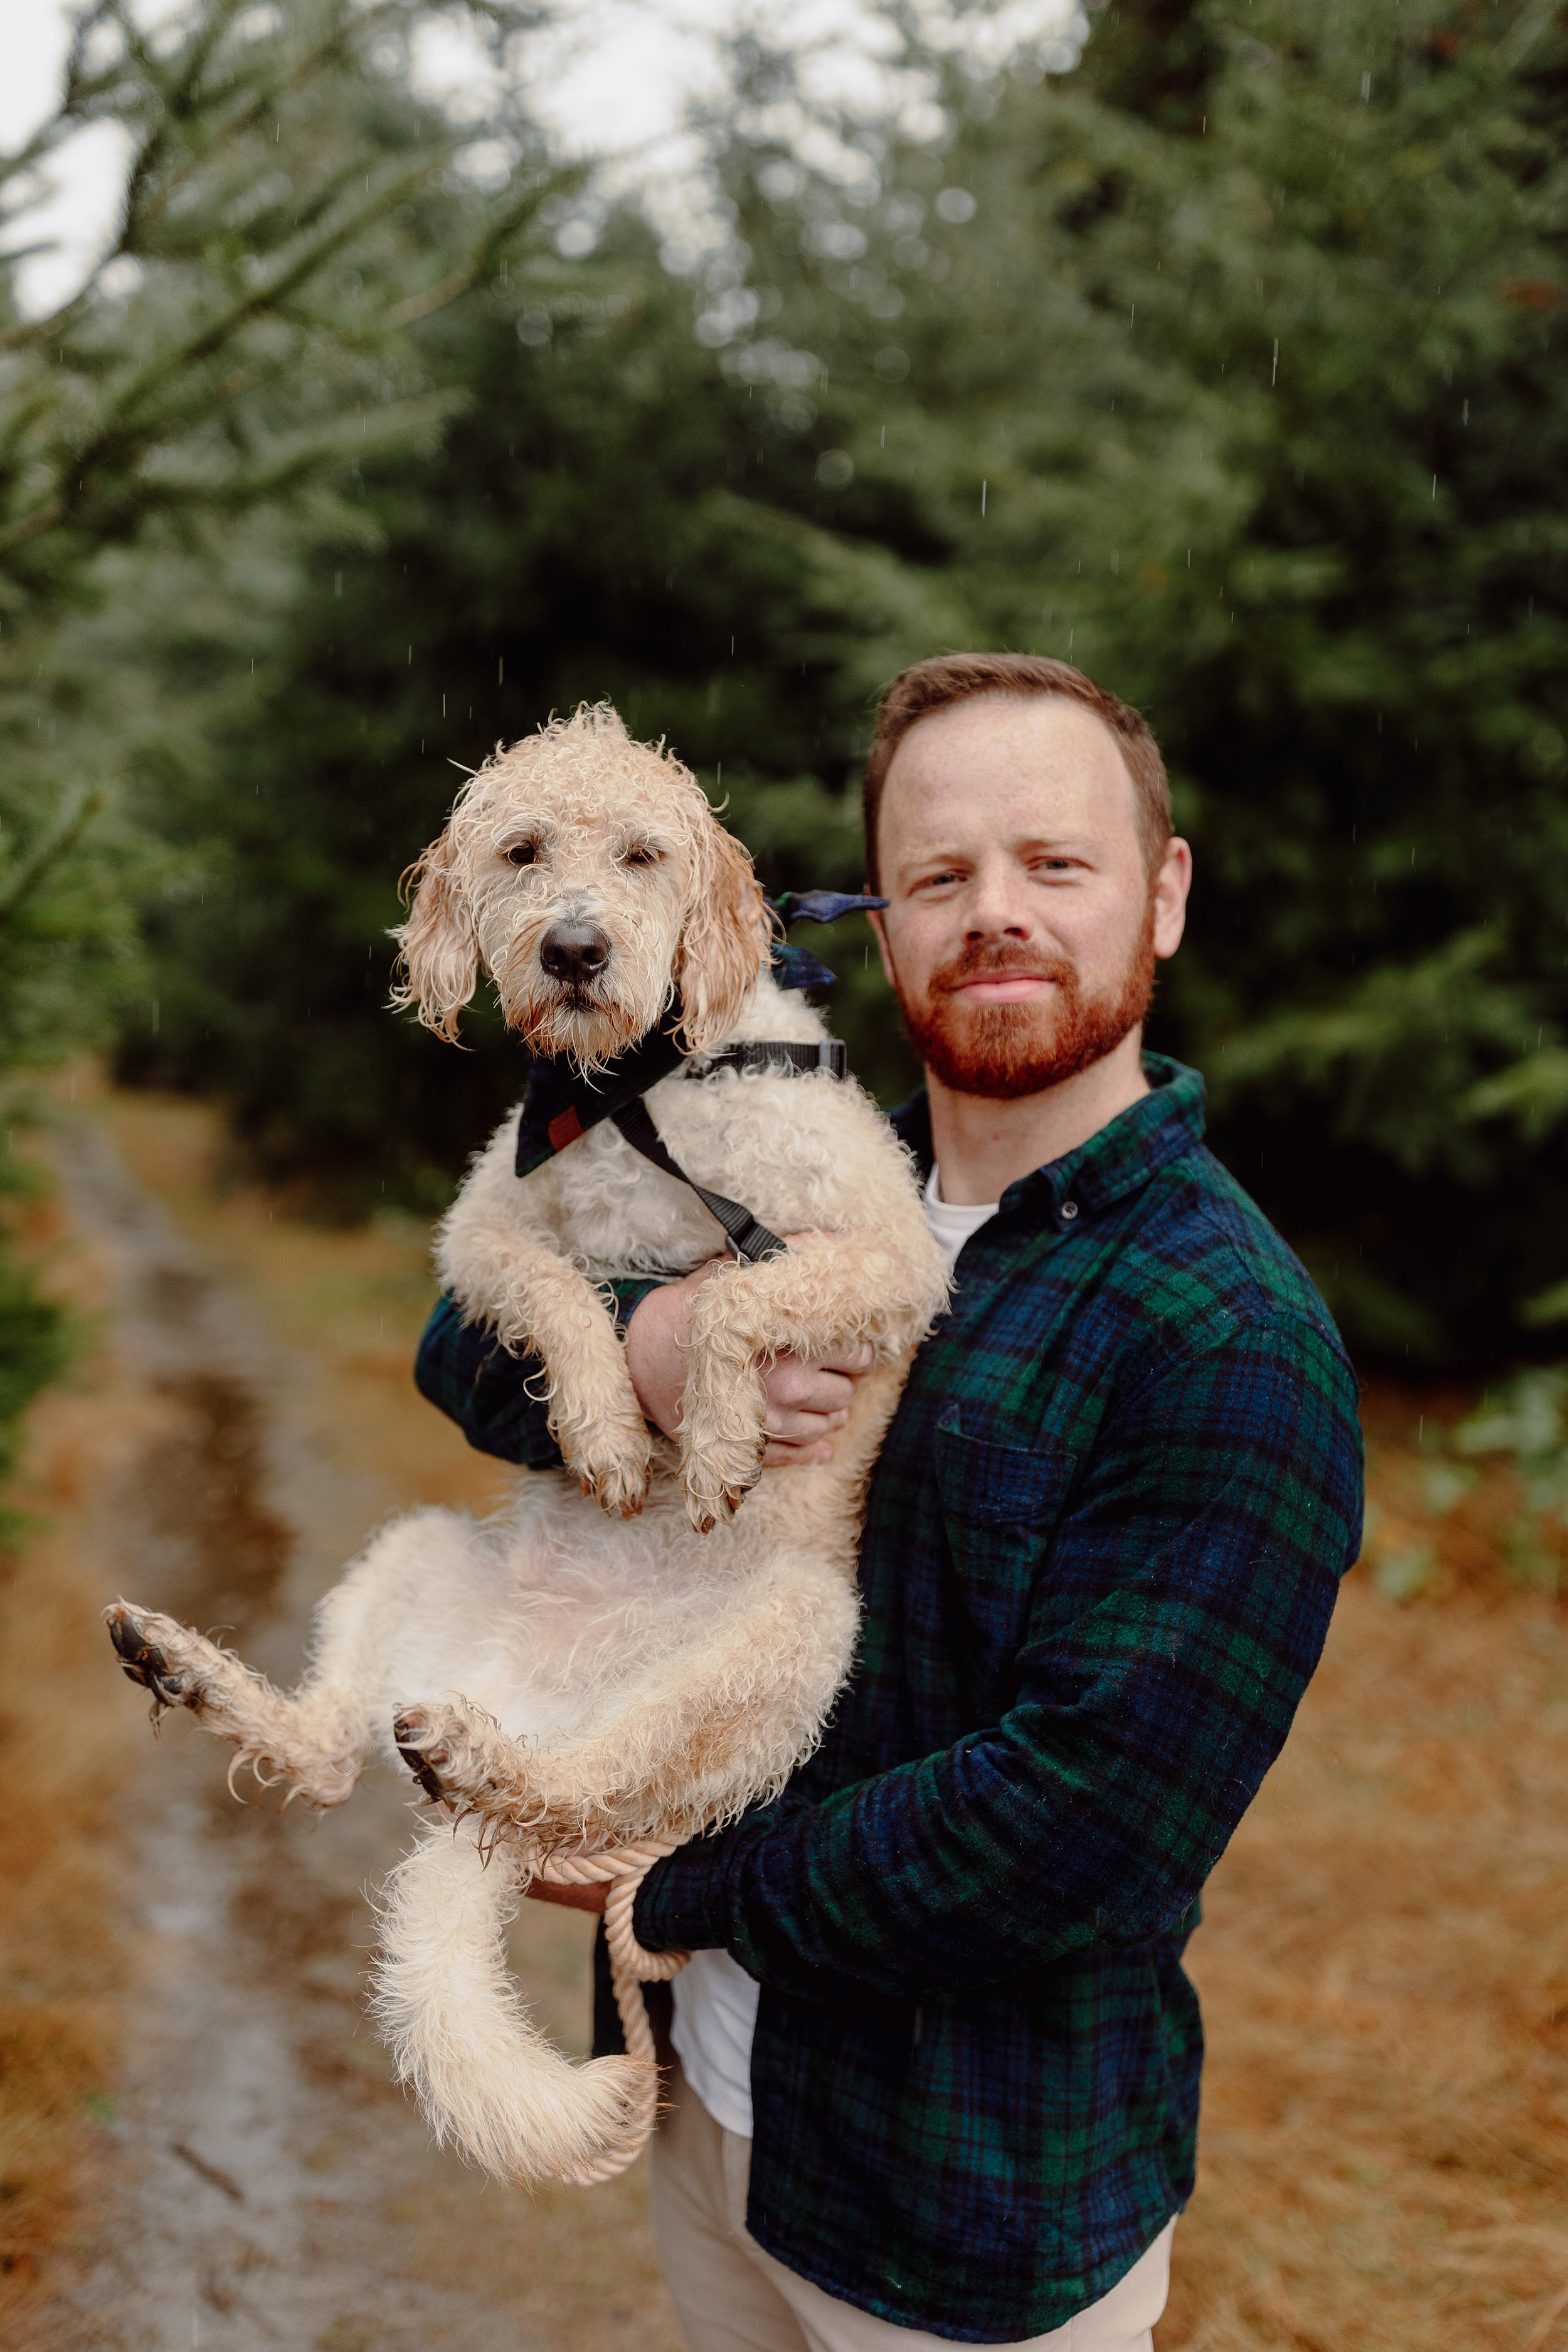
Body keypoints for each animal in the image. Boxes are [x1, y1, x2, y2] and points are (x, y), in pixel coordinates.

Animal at [110, 701, 950, 2183]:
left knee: (574, 1788)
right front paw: (613, 1433)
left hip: (784, 1650)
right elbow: (568, 1294)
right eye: (520, 850)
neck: (633, 1093)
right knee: (330, 1753)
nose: (572, 950)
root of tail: (534, 1697)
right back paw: (188, 1666)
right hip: (414, 1554)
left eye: (642, 854)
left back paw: (484, 1757)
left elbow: (726, 1296)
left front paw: (710, 1442)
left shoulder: (887, 1255)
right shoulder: (481, 1237)